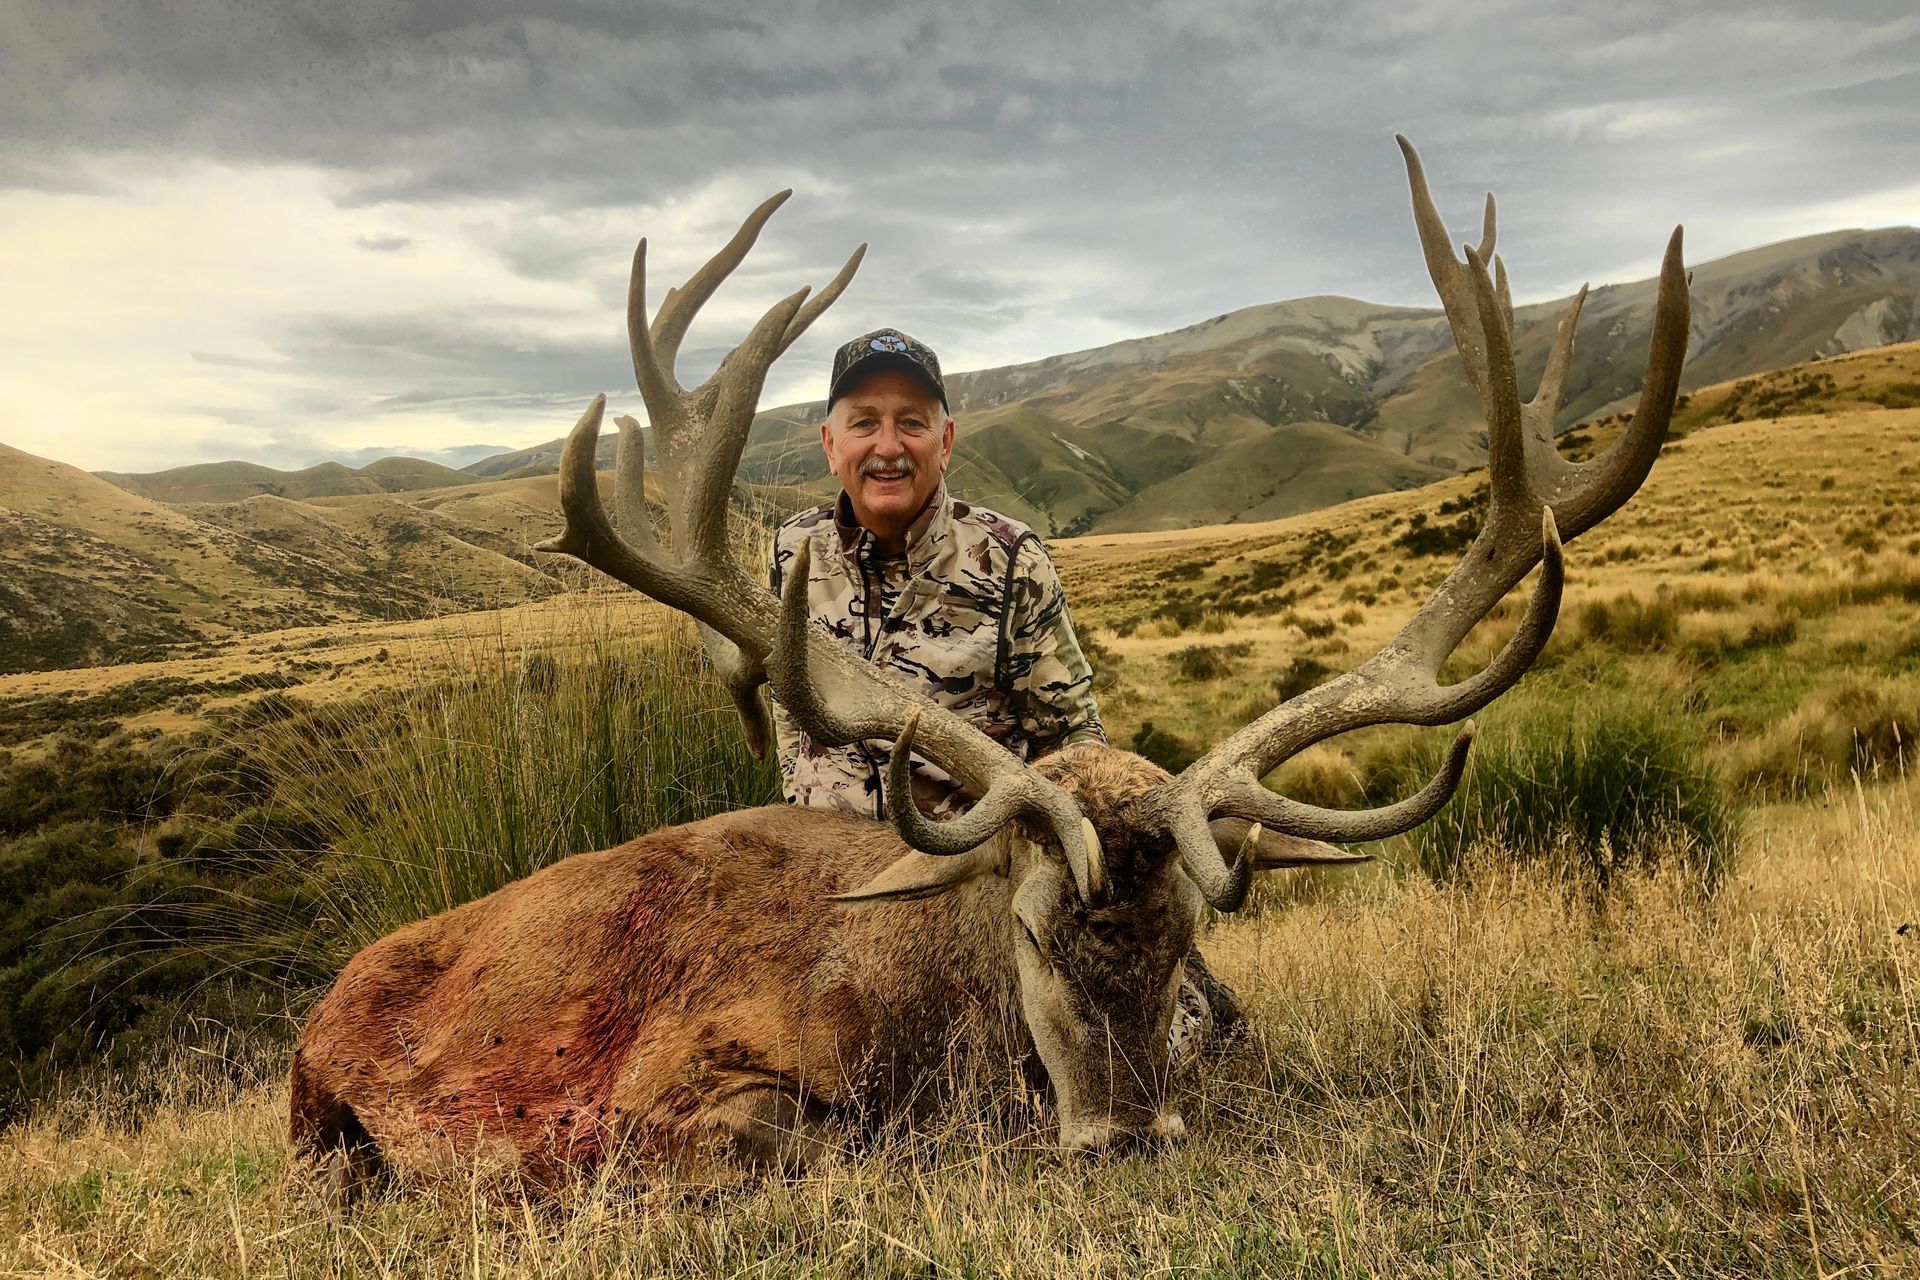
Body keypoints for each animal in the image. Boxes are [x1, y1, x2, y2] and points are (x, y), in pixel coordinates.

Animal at [289, 137, 1690, 1182]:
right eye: (1026, 929)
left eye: (1184, 931)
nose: (1126, 1129)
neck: (913, 999)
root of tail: (321, 1005)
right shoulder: (675, 1084)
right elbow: (785, 1137)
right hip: (318, 1105)